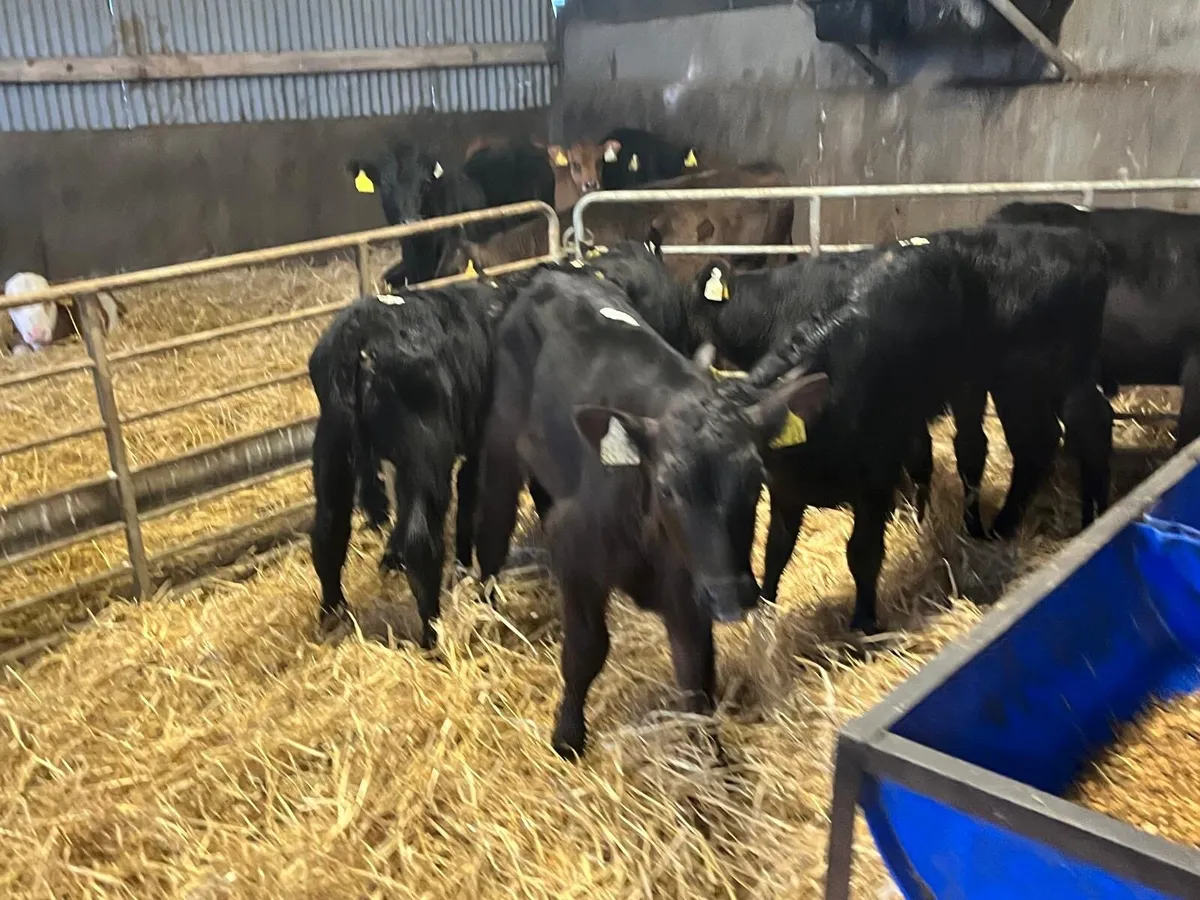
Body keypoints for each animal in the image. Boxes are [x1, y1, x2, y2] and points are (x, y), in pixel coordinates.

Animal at [309, 278, 552, 648]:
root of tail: (359, 340)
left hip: (332, 447)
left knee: (328, 529)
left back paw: (332, 617)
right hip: (423, 452)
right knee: (420, 541)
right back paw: (433, 634)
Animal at [470, 267, 827, 759]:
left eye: (757, 479)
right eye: (666, 488)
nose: (731, 597)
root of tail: (551, 274)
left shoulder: (689, 589)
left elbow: (696, 680)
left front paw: (708, 764)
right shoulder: (575, 553)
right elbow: (586, 650)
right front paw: (567, 736)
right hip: (500, 446)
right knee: (491, 531)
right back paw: (487, 614)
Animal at [743, 225, 1113, 634]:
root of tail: (1080, 241)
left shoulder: (877, 478)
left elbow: (862, 552)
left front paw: (864, 624)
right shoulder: (786, 491)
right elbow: (777, 548)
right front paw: (763, 613)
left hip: (1049, 373)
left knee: (1077, 430)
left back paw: (1078, 520)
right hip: (1023, 379)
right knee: (1048, 437)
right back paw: (1017, 524)